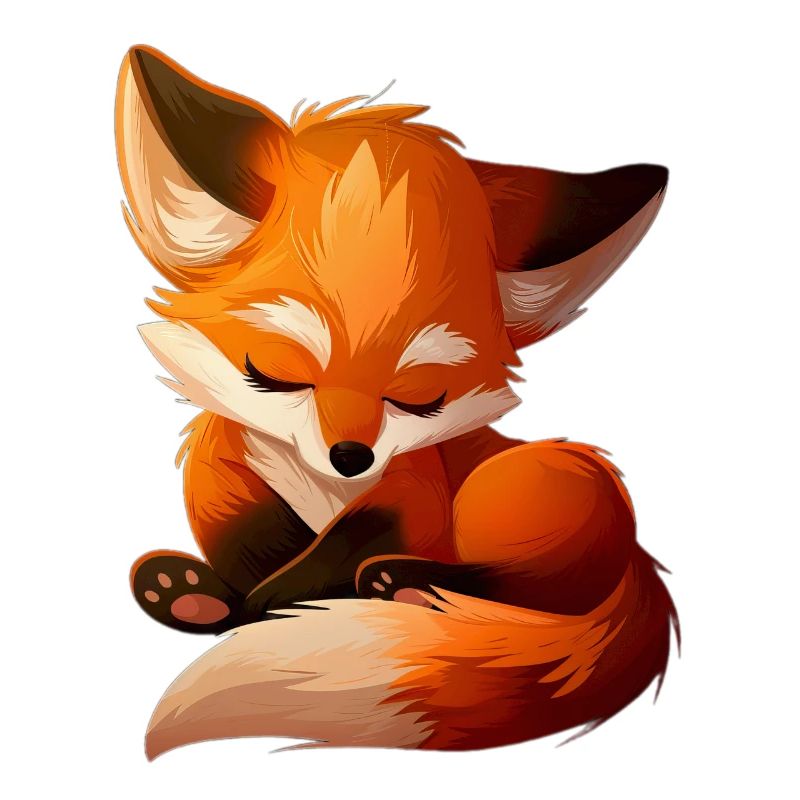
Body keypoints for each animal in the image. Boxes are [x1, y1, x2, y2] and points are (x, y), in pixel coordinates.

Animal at [117, 45, 678, 757]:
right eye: (275, 374)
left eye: (419, 397)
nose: (351, 456)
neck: (317, 486)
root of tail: (638, 557)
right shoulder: (227, 486)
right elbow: (254, 545)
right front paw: (224, 599)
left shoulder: (414, 498)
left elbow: (335, 553)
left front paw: (267, 608)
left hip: (503, 491)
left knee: (546, 581)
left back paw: (408, 588)